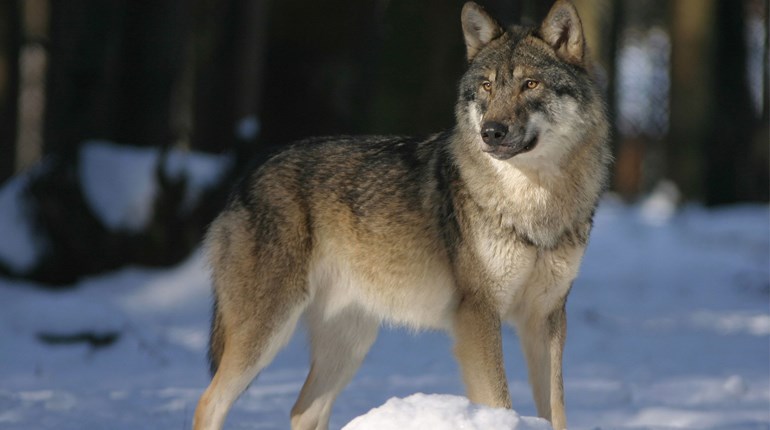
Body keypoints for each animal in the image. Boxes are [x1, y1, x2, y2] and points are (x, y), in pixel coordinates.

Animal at [193, 1, 611, 429]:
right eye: (487, 87)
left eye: (530, 84)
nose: (491, 132)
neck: (533, 204)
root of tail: (248, 173)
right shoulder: (478, 315)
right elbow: (500, 400)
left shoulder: (546, 319)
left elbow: (556, 410)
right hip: (267, 331)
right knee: (209, 402)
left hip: (349, 343)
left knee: (302, 410)